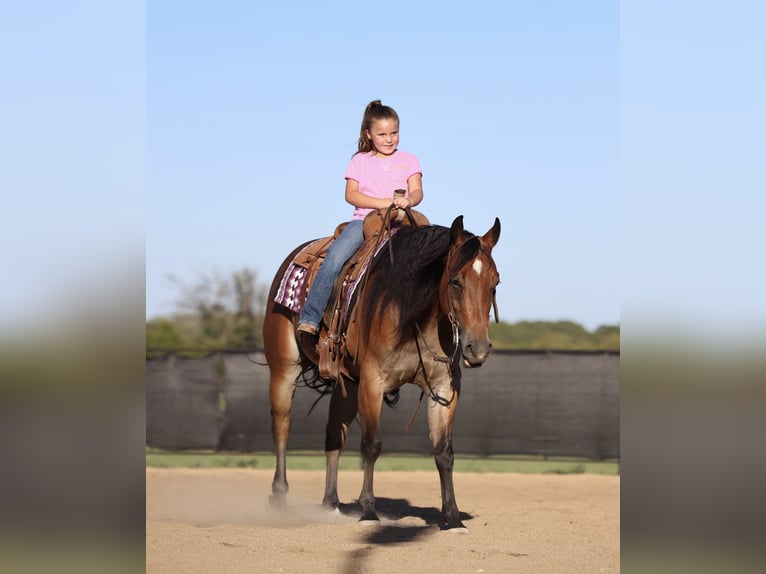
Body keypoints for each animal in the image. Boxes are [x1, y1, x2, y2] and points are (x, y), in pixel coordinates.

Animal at [262, 214, 501, 530]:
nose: (478, 348)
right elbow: (372, 444)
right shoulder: (373, 382)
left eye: (495, 283)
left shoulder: (444, 389)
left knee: (333, 434)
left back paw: (330, 505)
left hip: (348, 385)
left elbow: (444, 452)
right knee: (282, 425)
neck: (411, 315)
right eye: (455, 281)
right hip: (284, 368)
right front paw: (368, 511)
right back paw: (279, 496)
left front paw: (452, 518)